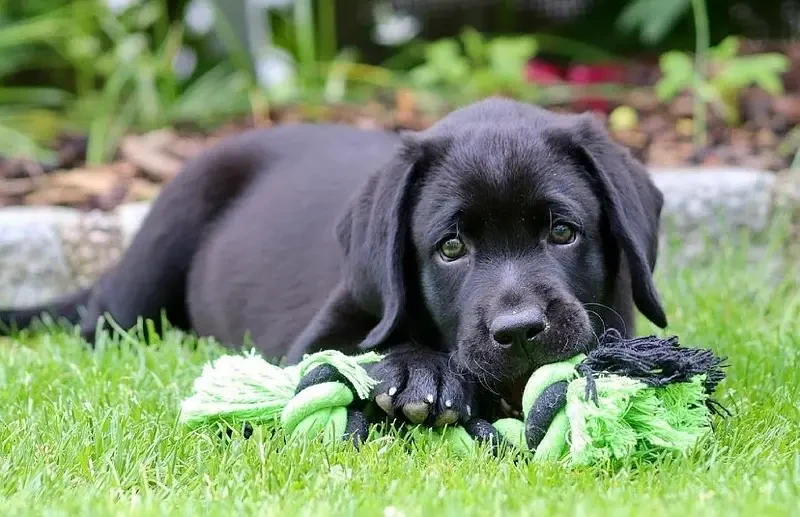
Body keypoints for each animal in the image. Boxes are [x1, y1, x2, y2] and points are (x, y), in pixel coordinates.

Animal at [1, 99, 664, 426]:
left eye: (562, 232)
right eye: (451, 248)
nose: (521, 331)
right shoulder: (317, 336)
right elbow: (351, 355)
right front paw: (419, 371)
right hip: (160, 242)